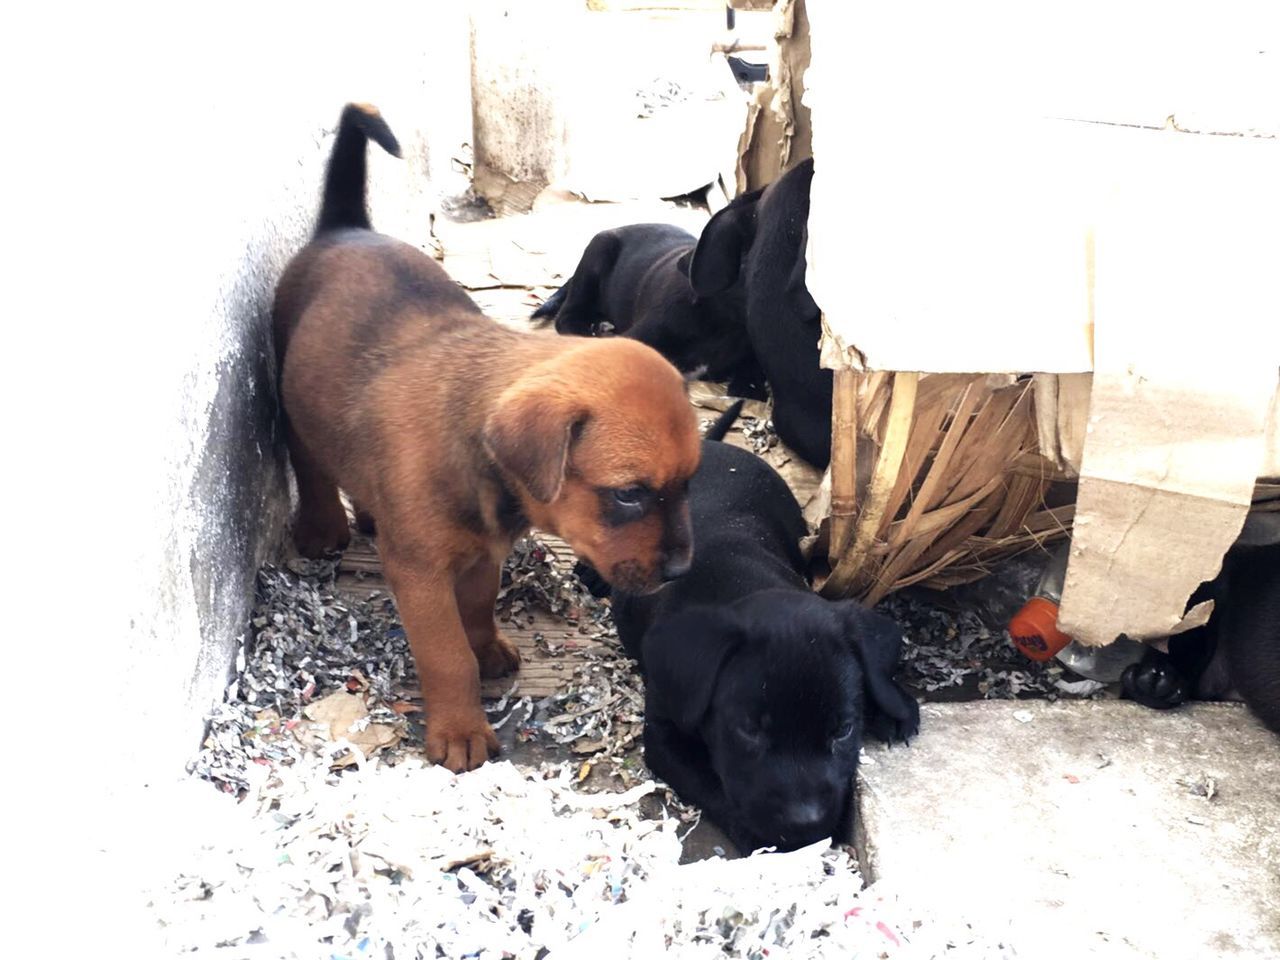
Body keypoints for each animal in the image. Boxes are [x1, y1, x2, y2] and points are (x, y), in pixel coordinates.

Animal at [273, 106, 706, 773]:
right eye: (630, 494)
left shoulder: (484, 552)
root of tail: (344, 228)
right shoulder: (421, 574)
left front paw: (489, 650)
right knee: (311, 462)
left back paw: (370, 513)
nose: (683, 570)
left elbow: (476, 609)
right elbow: (446, 653)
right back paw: (324, 527)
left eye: (689, 483)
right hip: (291, 391)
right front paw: (460, 730)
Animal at [609, 401, 921, 855]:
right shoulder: (664, 734)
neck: (740, 576)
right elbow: (709, 783)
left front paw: (892, 702)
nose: (806, 823)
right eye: (748, 730)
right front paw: (756, 835)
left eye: (844, 730)